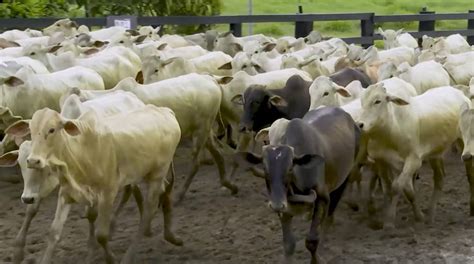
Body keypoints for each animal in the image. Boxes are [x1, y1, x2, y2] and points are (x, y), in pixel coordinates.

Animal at [244, 106, 360, 262]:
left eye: (290, 167)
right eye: (265, 166)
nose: (275, 203)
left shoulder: (323, 198)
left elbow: (312, 241)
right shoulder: (284, 206)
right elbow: (289, 245)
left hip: (344, 179)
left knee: (330, 214)